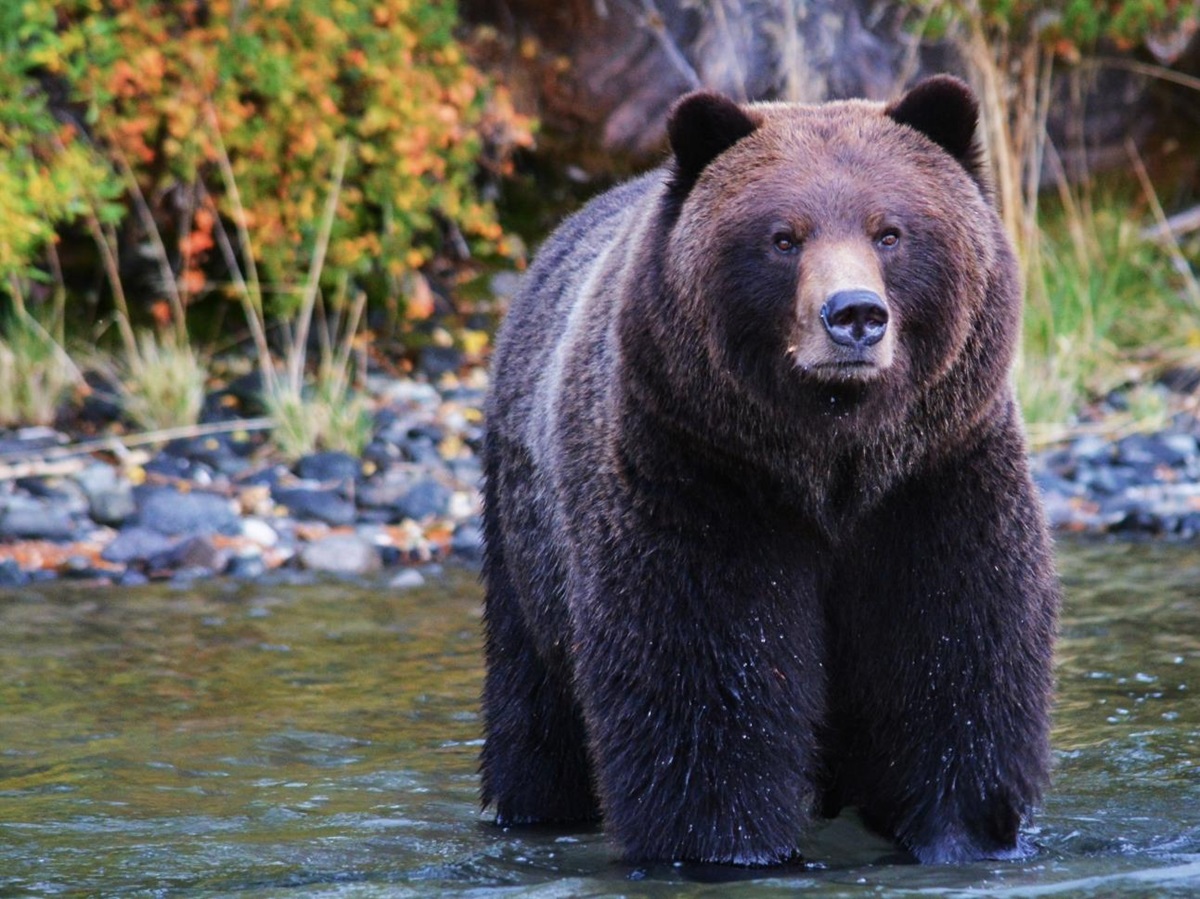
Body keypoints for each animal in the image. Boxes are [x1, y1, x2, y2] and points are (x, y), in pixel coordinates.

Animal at [479, 74, 1060, 867]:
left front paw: (961, 831)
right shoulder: (698, 476)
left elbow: (956, 657)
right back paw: (534, 806)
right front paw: (719, 845)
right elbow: (707, 678)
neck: (831, 462)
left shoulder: (937, 479)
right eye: (784, 237)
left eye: (890, 232)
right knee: (532, 709)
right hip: (526, 534)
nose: (854, 315)